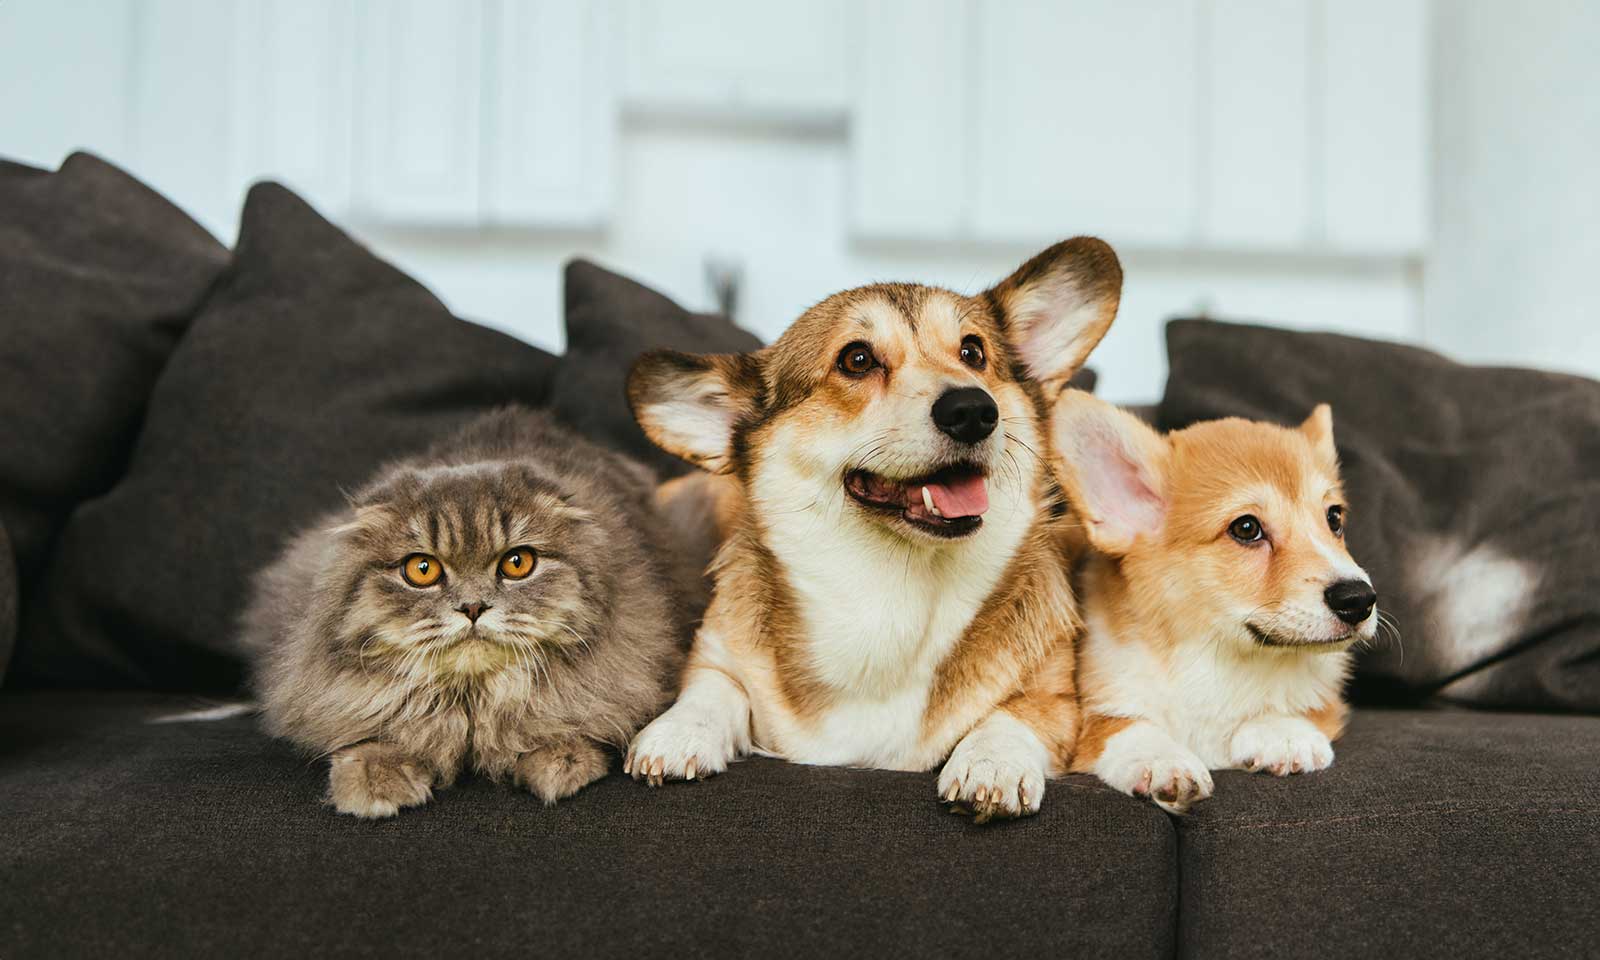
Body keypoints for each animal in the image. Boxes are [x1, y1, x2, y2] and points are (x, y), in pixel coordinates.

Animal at [241, 404, 700, 816]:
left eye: (517, 563)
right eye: (422, 569)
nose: (473, 606)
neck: (470, 704)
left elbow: (565, 715)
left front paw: (559, 761)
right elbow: (376, 728)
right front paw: (376, 781)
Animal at [617, 238, 1120, 816]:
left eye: (973, 352)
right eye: (856, 359)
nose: (974, 409)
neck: (891, 596)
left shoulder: (1055, 697)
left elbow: (1015, 716)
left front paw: (992, 762)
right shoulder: (716, 656)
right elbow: (712, 689)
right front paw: (678, 732)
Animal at [1049, 393, 1376, 812]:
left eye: (1334, 518)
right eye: (1246, 528)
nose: (1360, 599)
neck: (1218, 659)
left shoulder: (1325, 701)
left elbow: (1297, 707)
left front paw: (1284, 733)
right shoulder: (1090, 717)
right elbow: (1125, 724)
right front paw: (1161, 759)